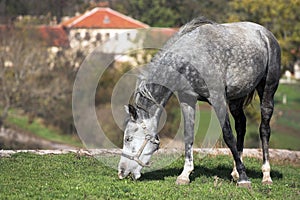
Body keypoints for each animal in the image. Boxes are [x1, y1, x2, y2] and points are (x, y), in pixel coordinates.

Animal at [118, 17, 282, 188]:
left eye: (128, 138)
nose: (121, 172)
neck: (191, 60)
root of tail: (266, 34)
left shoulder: (218, 99)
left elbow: (228, 136)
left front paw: (244, 178)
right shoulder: (187, 100)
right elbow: (188, 135)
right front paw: (185, 175)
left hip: (267, 90)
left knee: (264, 129)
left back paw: (266, 175)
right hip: (236, 99)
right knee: (241, 125)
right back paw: (235, 171)